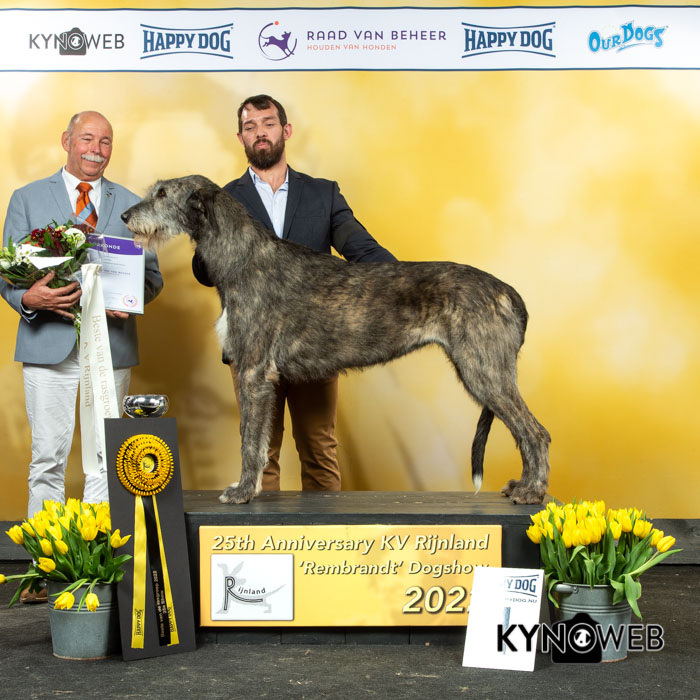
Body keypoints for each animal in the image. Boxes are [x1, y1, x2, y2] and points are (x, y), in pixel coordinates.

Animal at [121, 176, 550, 505]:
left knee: (535, 432)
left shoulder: (253, 372)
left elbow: (249, 440)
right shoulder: (262, 378)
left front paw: (241, 492)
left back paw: (533, 492)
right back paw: (525, 486)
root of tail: (507, 291)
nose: (126, 216)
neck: (243, 258)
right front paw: (251, 488)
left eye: (162, 193)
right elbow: (261, 443)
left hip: (484, 370)